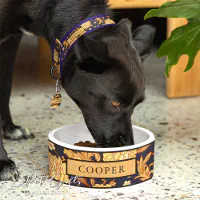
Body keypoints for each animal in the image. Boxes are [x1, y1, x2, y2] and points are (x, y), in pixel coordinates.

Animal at [0, 0, 155, 181]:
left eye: (136, 105)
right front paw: (2, 162)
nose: (128, 145)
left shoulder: (11, 40)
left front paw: (10, 128)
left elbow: (6, 89)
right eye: (114, 103)